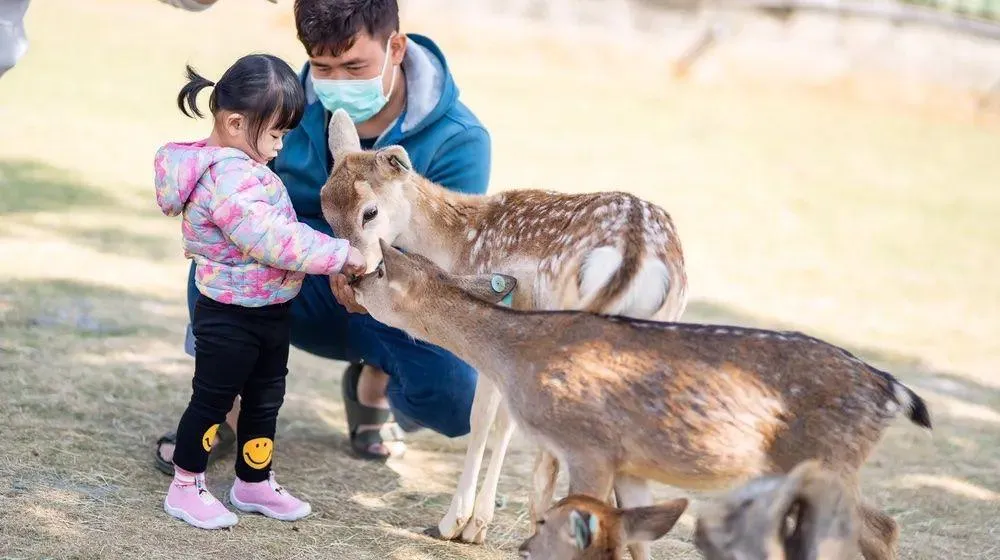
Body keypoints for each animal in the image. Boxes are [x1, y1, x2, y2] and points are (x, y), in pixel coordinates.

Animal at [320, 108, 688, 544]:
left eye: (370, 211)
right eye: (325, 210)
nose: (350, 273)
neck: (460, 244)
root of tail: (637, 251)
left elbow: (482, 419)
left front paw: (459, 524)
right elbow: (504, 423)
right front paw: (475, 524)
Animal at [350, 243, 928, 560]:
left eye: (378, 273)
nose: (350, 277)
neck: (521, 357)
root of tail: (890, 391)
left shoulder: (588, 444)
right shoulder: (630, 461)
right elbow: (638, 538)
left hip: (826, 457)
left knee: (878, 528)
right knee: (882, 527)